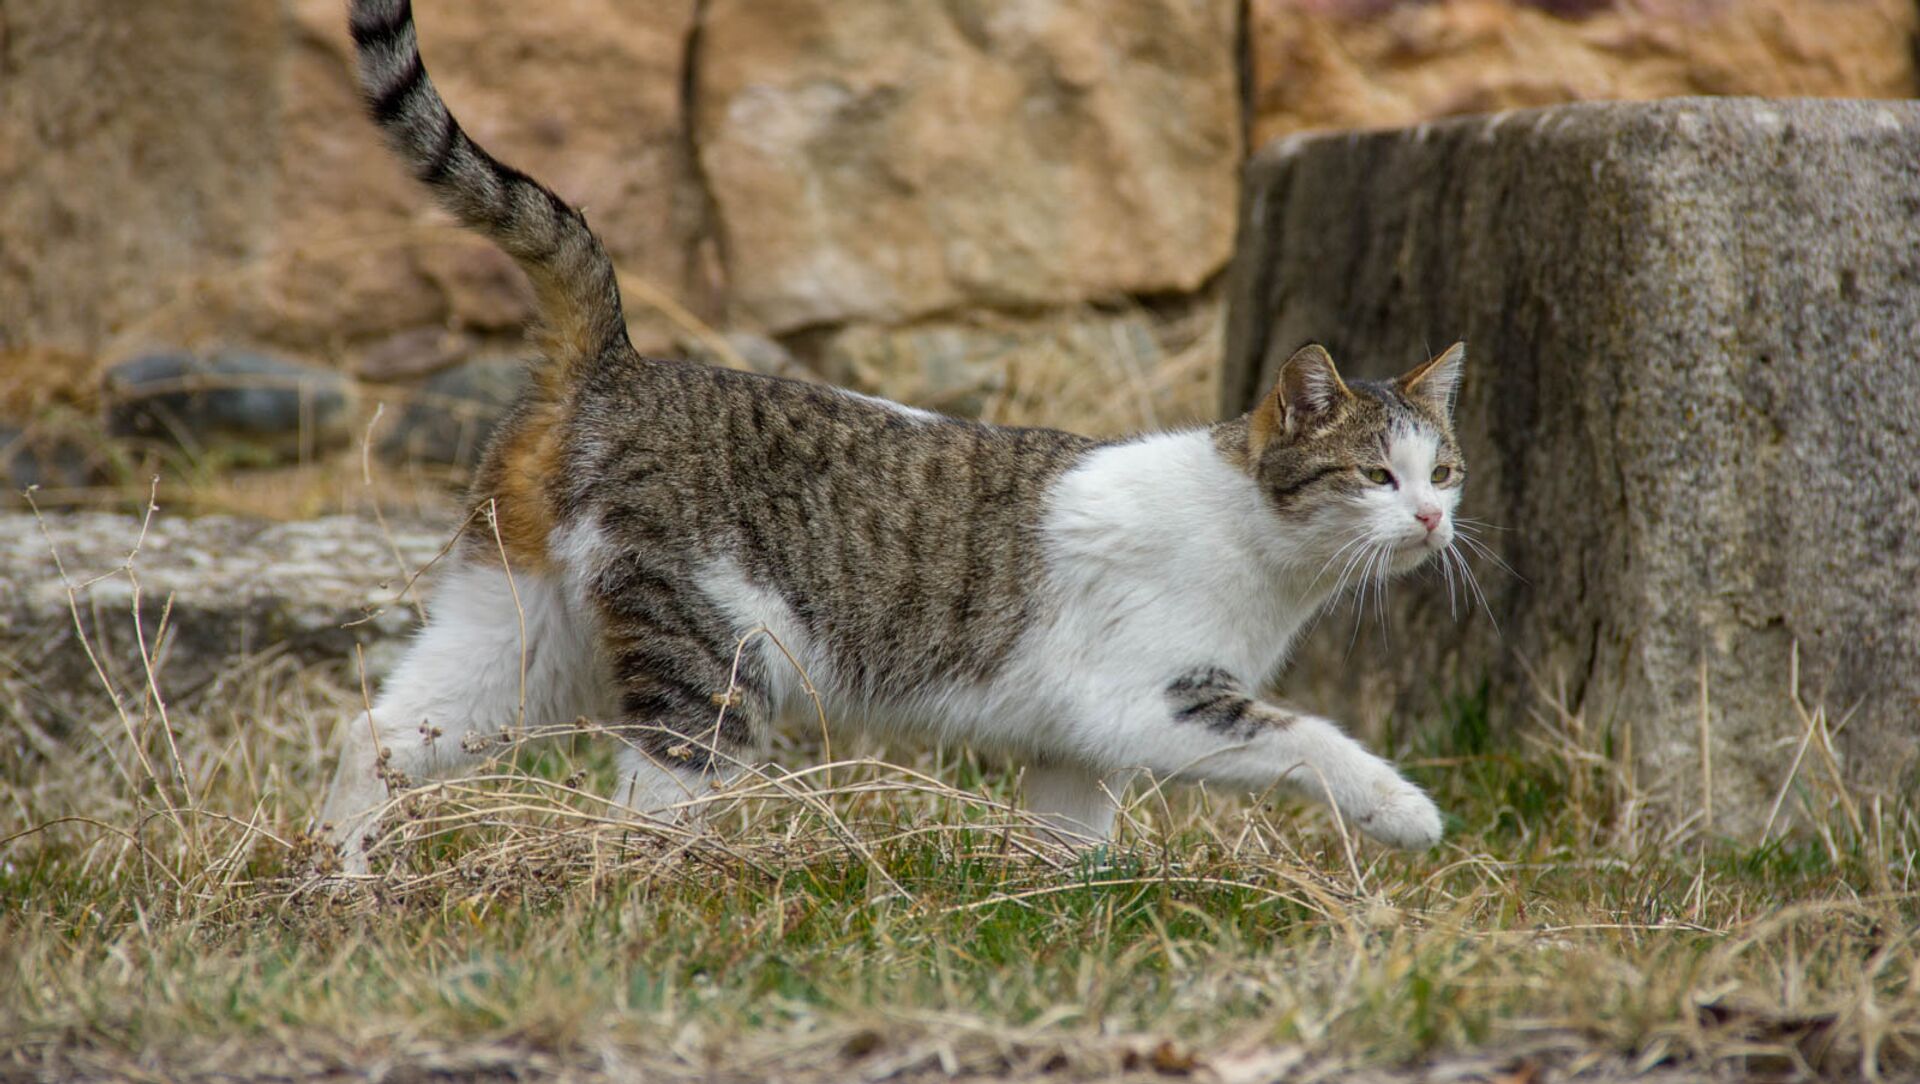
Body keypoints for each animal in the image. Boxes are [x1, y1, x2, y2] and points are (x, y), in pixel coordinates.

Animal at [318, 0, 1451, 867]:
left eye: (1445, 470)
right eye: (1374, 475)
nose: (1436, 521)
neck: (1261, 543)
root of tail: (618, 363)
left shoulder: (1077, 745)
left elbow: (1070, 842)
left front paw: (1062, 911)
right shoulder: (1160, 701)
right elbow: (1309, 737)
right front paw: (1404, 810)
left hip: (513, 630)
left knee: (377, 732)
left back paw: (337, 880)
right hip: (713, 659)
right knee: (644, 806)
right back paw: (675, 893)